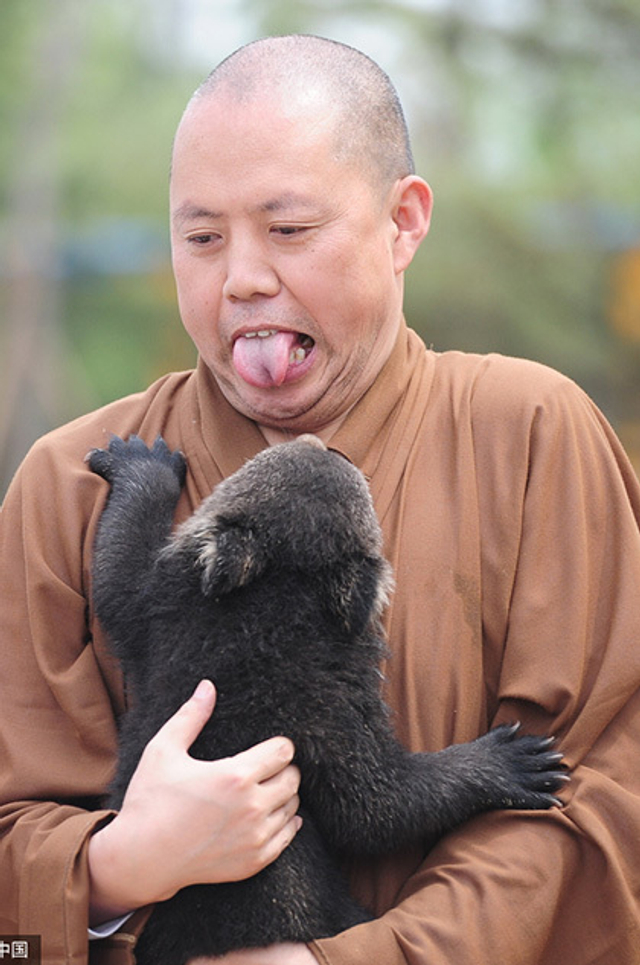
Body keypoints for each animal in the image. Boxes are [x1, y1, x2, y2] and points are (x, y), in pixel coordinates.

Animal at [88, 433, 567, 965]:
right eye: (353, 483)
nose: (318, 441)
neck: (275, 601)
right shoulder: (322, 707)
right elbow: (373, 804)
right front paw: (510, 762)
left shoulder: (163, 616)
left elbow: (116, 574)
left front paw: (138, 463)